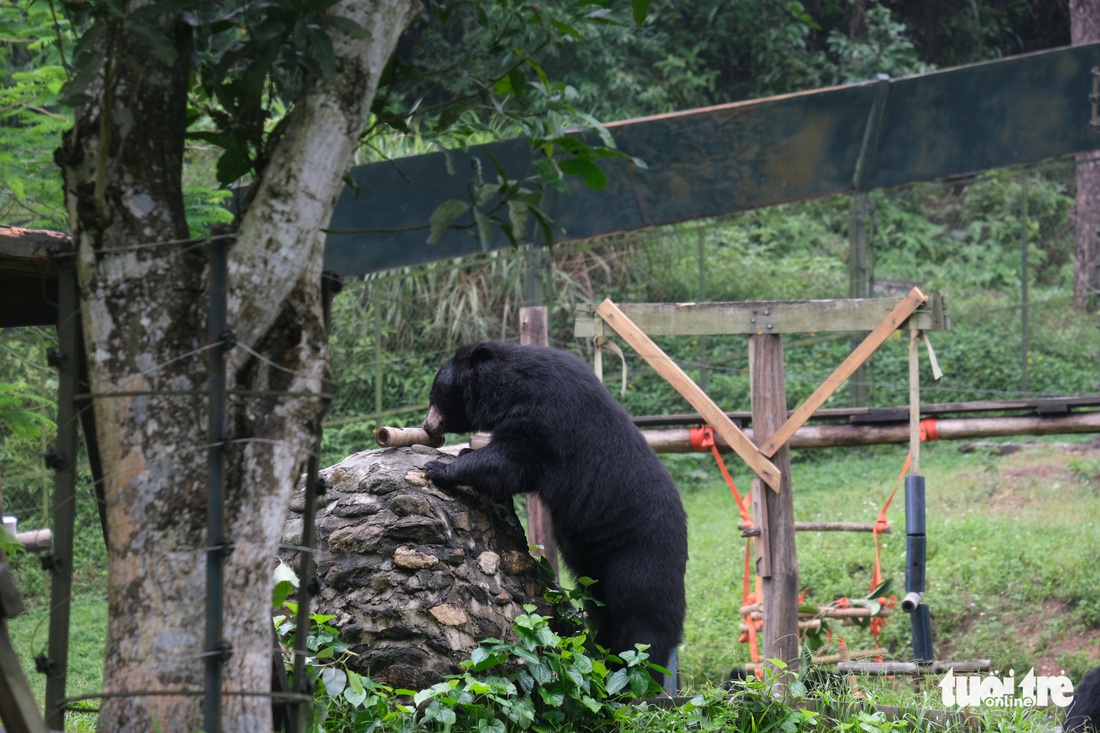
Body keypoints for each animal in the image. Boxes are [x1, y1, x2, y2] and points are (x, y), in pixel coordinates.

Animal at [420, 338, 686, 669]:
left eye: (434, 397)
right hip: (596, 570)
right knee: (604, 613)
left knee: (642, 625)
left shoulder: (545, 415)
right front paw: (463, 452)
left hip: (640, 557)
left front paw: (439, 468)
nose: (427, 426)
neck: (509, 386)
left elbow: (508, 462)